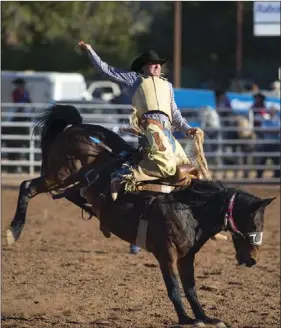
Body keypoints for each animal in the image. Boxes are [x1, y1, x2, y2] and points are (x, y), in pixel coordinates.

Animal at [6, 105, 274, 328]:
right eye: (253, 221)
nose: (253, 260)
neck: (189, 209)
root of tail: (77, 127)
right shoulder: (166, 254)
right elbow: (174, 287)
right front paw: (185, 319)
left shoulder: (187, 257)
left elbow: (191, 288)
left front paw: (205, 317)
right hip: (60, 173)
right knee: (28, 186)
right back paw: (13, 232)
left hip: (69, 179)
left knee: (67, 193)